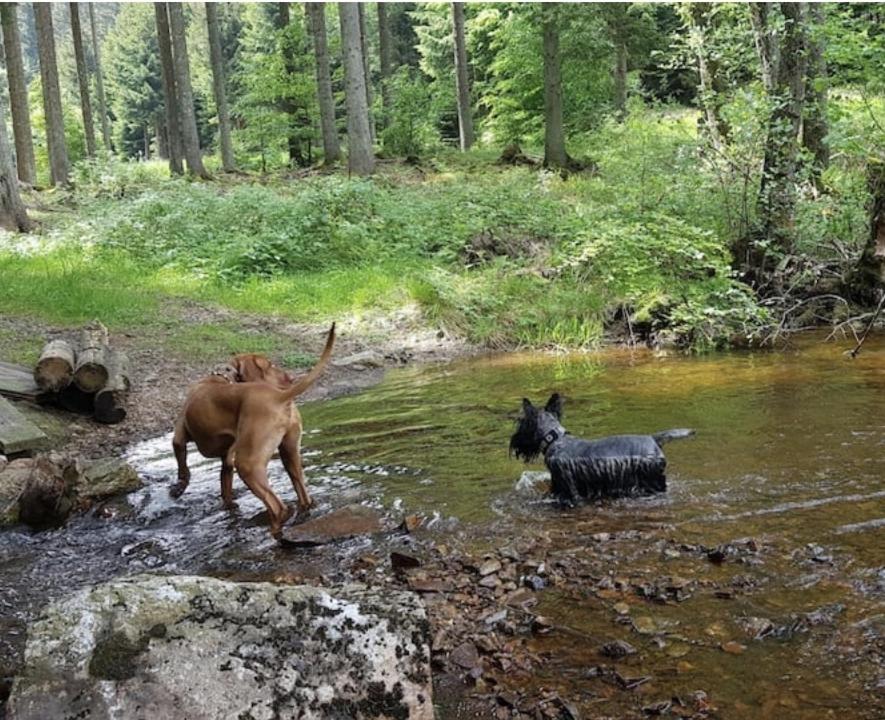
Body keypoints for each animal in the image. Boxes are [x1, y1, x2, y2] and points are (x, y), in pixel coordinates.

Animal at [172, 324, 334, 536]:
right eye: (270, 365)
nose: (291, 377)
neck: (222, 378)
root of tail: (279, 396)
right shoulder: (226, 459)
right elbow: (225, 486)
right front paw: (229, 506)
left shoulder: (179, 436)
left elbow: (182, 467)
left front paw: (178, 488)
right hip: (289, 453)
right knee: (302, 493)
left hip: (247, 464)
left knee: (278, 506)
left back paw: (275, 530)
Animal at [512, 394, 692, 506]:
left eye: (521, 424)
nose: (514, 442)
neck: (555, 440)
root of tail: (654, 439)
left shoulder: (569, 487)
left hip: (651, 481)